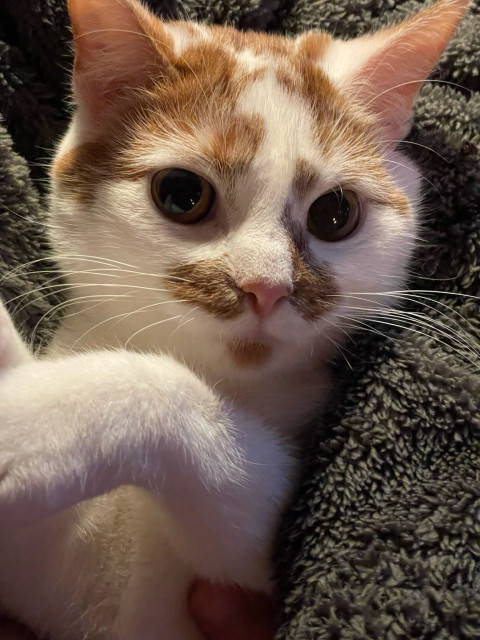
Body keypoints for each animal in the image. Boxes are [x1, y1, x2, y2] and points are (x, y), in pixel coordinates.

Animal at [0, 0, 468, 636]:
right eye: (181, 193)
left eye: (335, 213)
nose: (266, 287)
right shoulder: (43, 564)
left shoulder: (257, 561)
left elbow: (178, 402)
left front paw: (31, 422)